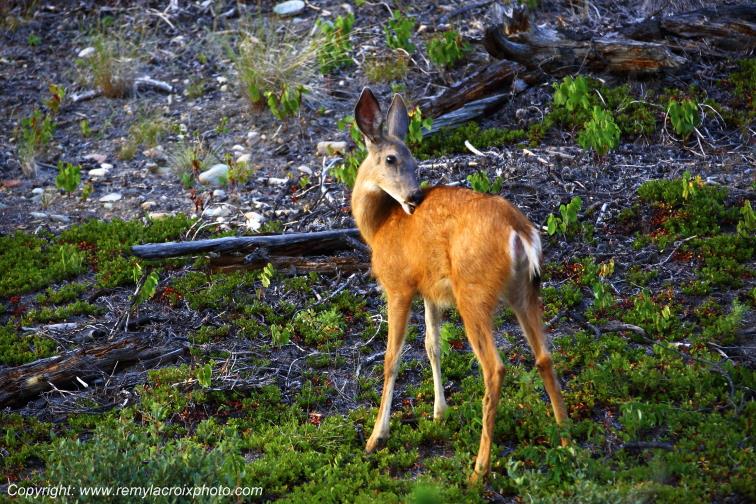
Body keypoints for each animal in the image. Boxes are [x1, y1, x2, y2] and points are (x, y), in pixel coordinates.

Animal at [350, 88, 569, 482]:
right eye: (393, 158)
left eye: (413, 160)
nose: (415, 197)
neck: (379, 227)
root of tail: (519, 232)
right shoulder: (431, 290)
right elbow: (432, 345)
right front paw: (440, 412)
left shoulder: (399, 285)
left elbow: (392, 358)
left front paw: (377, 436)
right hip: (524, 290)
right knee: (544, 355)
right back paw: (566, 440)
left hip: (473, 292)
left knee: (494, 368)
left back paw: (479, 469)